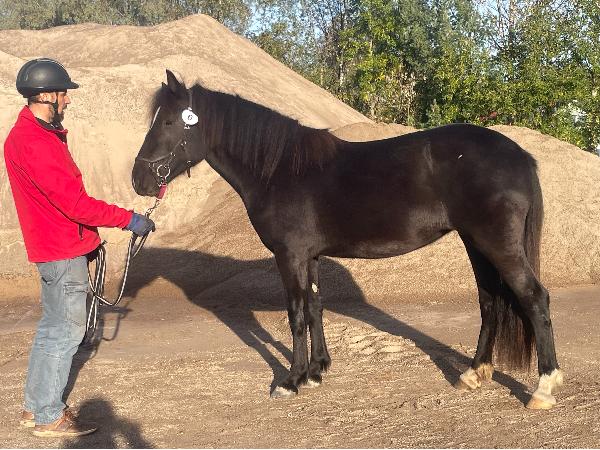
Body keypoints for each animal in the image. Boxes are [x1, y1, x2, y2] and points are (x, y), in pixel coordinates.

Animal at [131, 70, 562, 409]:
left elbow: (296, 314)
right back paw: (473, 374)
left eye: (168, 123)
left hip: (497, 245)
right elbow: (315, 306)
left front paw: (291, 381)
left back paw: (543, 387)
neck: (280, 170)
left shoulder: (289, 256)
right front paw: (317, 371)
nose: (140, 180)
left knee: (533, 298)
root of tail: (520, 156)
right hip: (476, 245)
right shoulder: (309, 257)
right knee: (490, 302)